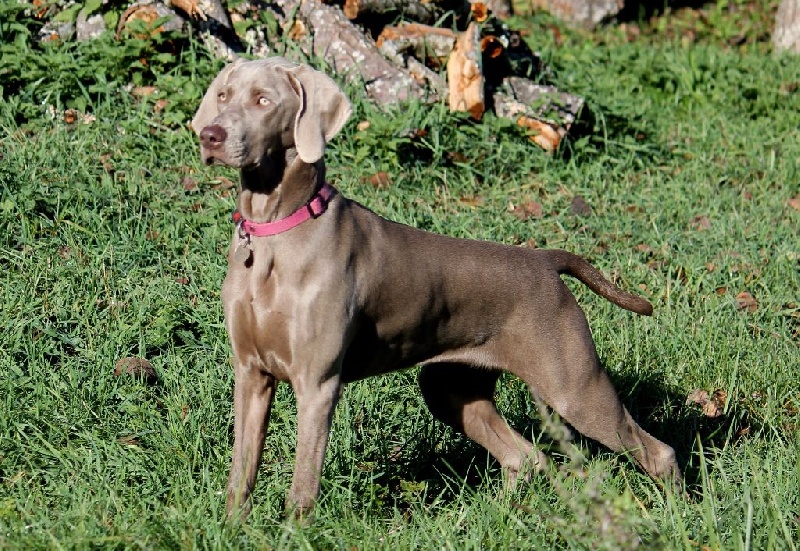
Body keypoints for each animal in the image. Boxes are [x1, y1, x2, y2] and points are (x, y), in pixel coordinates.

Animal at [191, 56, 680, 519]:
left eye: (263, 100)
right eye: (223, 96)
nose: (211, 136)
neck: (275, 230)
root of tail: (543, 260)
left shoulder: (317, 382)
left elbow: (303, 483)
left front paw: (295, 531)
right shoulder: (250, 373)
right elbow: (241, 469)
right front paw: (233, 527)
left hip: (573, 388)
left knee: (657, 450)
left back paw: (676, 510)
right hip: (450, 388)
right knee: (525, 457)